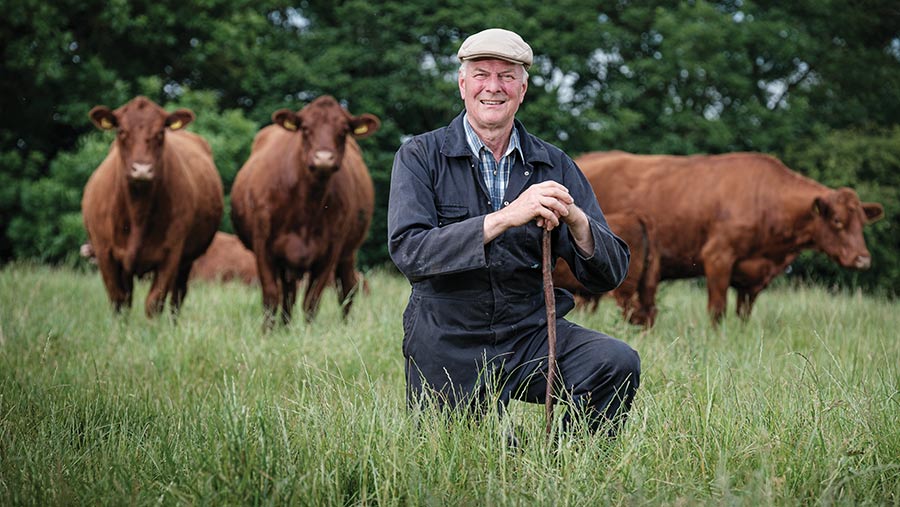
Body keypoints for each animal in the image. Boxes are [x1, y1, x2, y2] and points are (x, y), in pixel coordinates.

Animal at [81, 95, 225, 318]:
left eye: (160, 132)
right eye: (121, 131)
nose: (142, 169)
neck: (137, 213)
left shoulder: (172, 254)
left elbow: (154, 302)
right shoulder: (105, 253)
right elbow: (118, 300)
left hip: (186, 262)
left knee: (177, 298)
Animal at [230, 95, 378, 330]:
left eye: (343, 130)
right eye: (306, 128)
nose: (323, 158)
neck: (307, 203)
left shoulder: (331, 249)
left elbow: (312, 300)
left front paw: (308, 332)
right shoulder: (263, 245)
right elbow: (271, 295)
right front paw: (267, 332)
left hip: (348, 252)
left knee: (347, 287)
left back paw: (344, 326)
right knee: (288, 294)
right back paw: (284, 327)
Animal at [576, 151, 884, 326]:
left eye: (862, 223)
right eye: (838, 221)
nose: (863, 259)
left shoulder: (753, 277)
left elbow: (743, 312)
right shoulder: (718, 257)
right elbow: (717, 309)